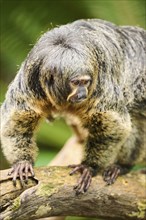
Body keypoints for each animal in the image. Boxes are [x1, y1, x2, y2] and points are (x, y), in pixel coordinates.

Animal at [0, 18, 145, 193]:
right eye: (76, 83)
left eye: (86, 82)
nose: (82, 92)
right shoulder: (30, 80)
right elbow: (15, 119)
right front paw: (22, 162)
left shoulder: (101, 83)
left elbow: (115, 126)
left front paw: (89, 166)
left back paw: (121, 166)